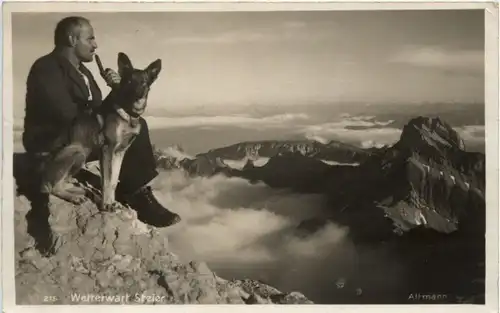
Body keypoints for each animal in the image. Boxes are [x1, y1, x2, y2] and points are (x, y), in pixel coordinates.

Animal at [41, 52, 162, 211]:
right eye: (129, 81)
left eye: (143, 82)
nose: (137, 94)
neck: (128, 114)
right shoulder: (107, 149)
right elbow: (107, 181)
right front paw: (106, 205)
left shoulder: (120, 152)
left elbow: (113, 180)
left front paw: (112, 202)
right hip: (77, 151)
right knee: (53, 187)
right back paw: (74, 197)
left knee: (64, 183)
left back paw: (80, 191)